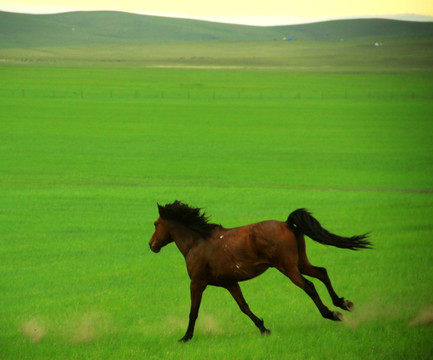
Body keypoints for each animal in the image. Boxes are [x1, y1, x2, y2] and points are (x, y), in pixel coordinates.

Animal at [148, 201, 372, 342]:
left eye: (156, 224)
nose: (151, 245)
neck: (197, 242)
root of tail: (287, 224)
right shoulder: (230, 282)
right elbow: (244, 306)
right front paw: (264, 329)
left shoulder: (197, 283)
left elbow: (193, 312)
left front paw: (185, 337)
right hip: (300, 263)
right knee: (323, 273)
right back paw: (344, 303)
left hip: (287, 267)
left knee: (309, 286)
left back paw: (333, 314)